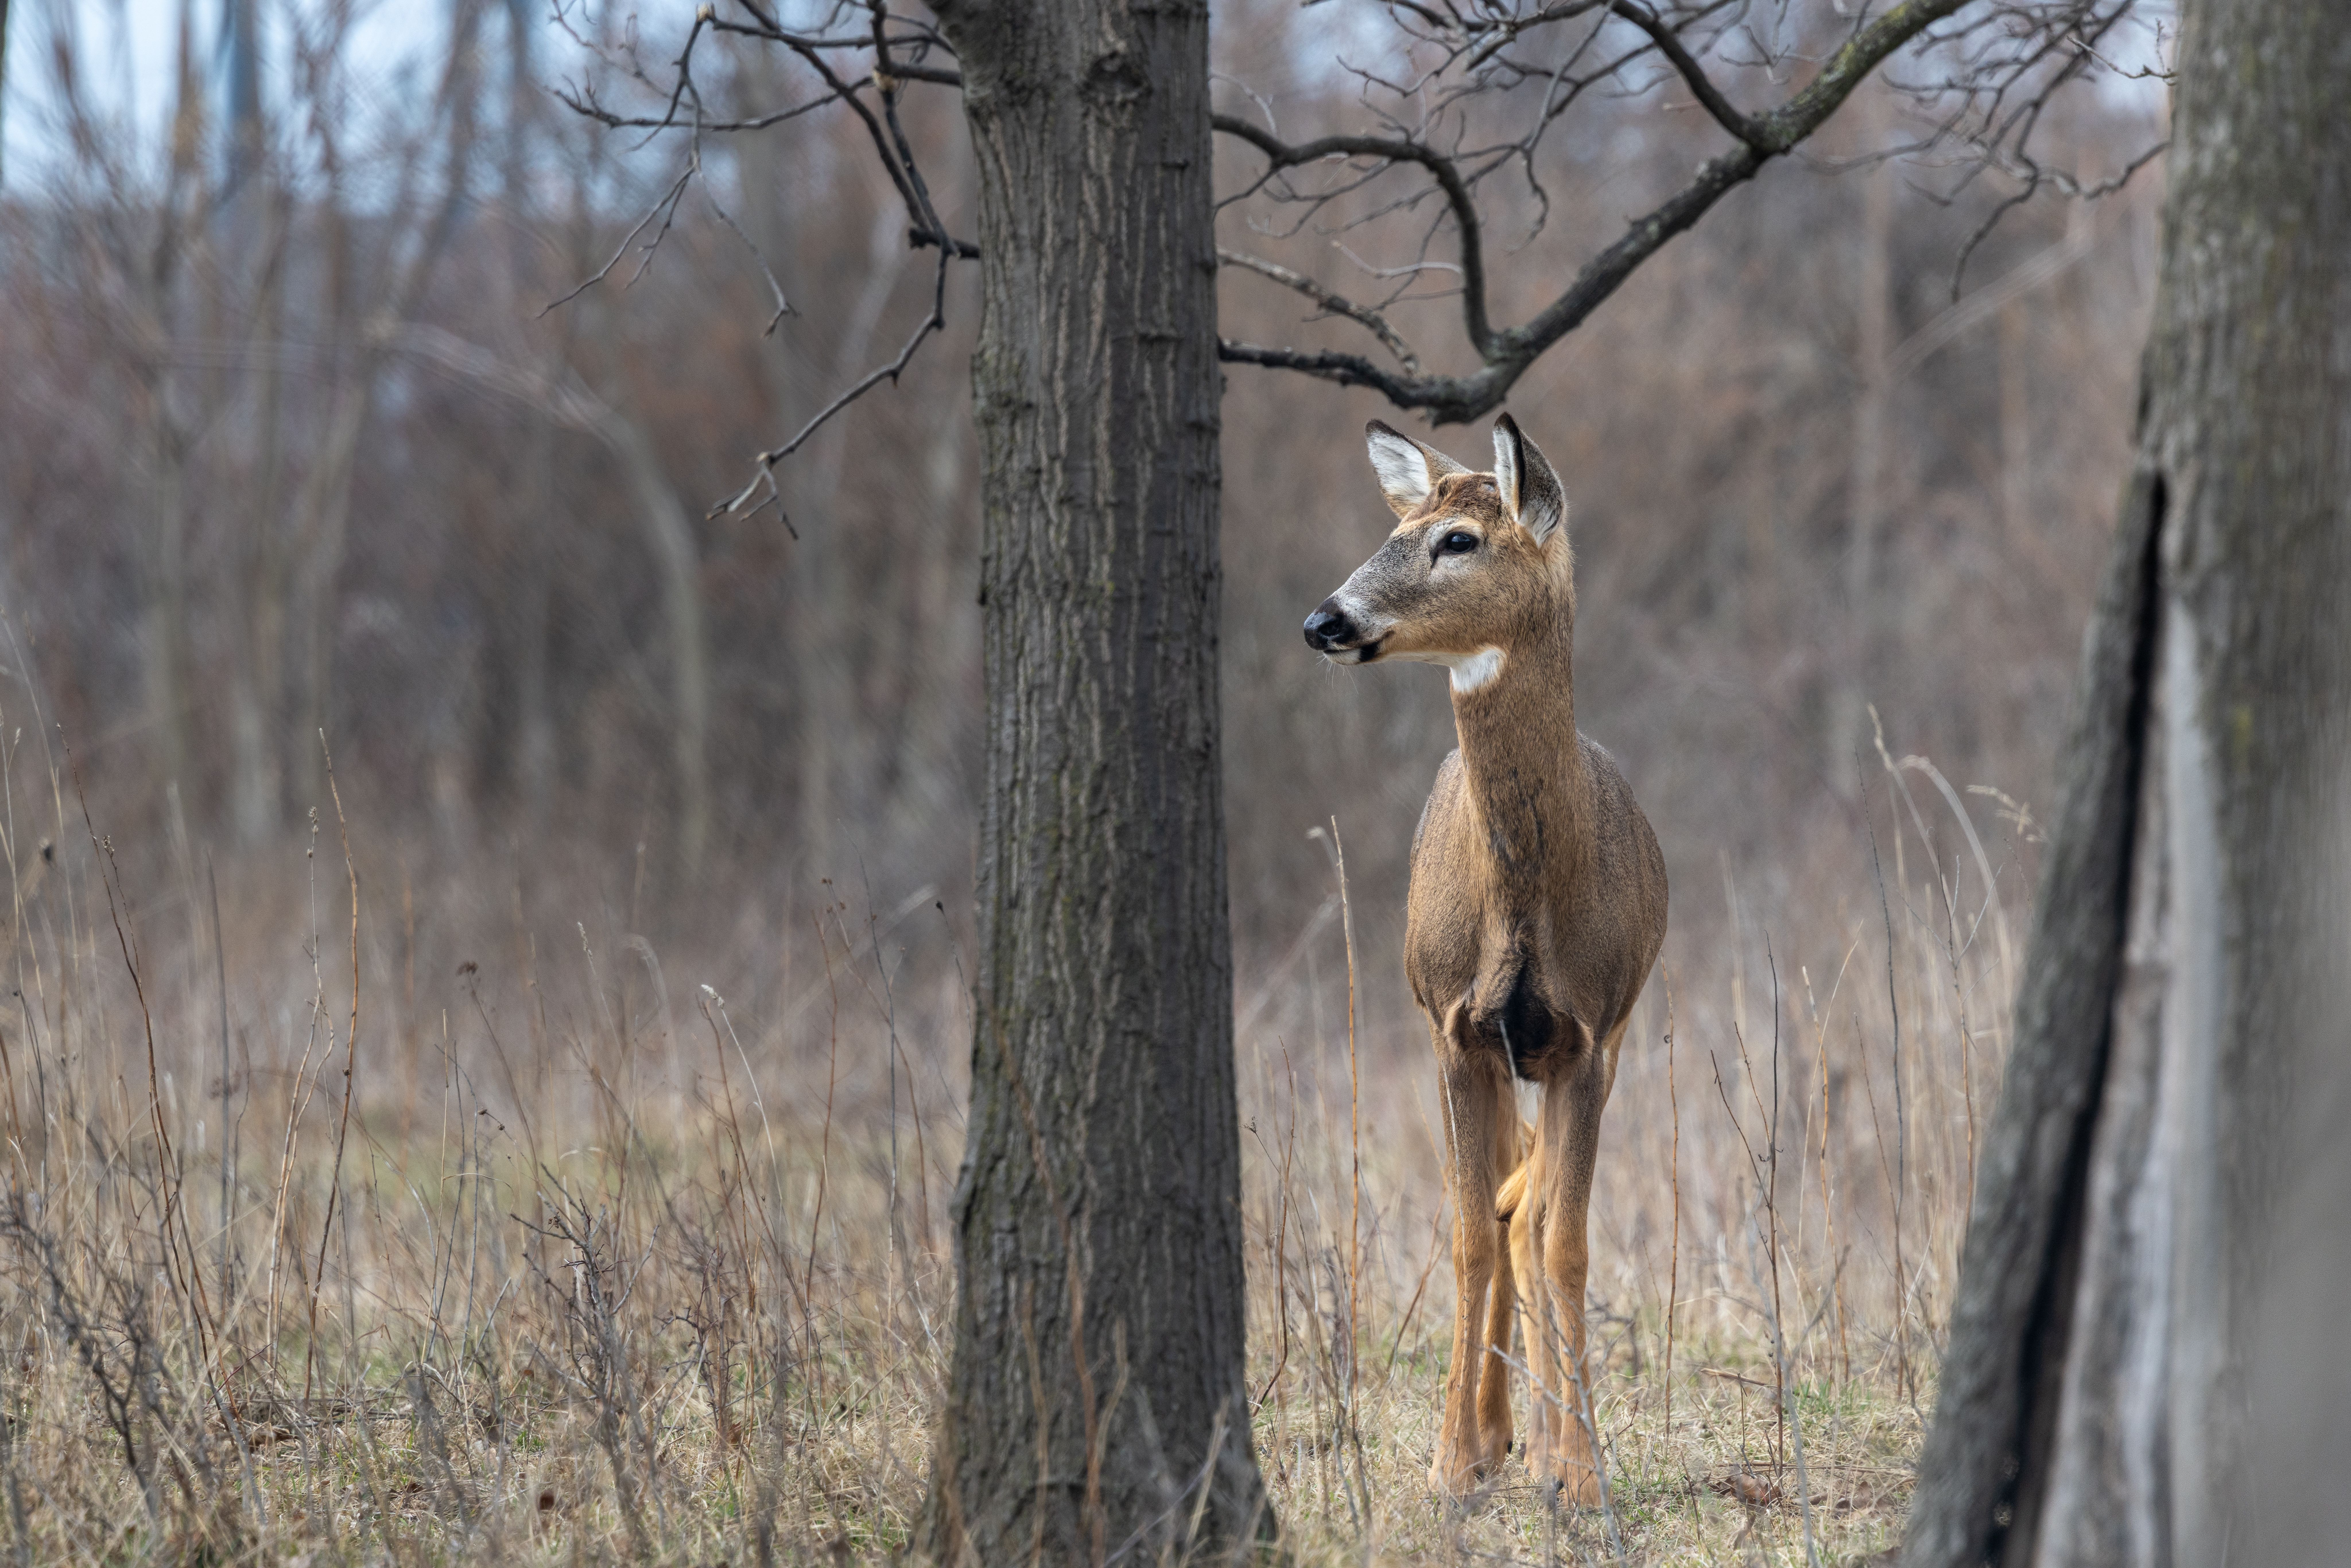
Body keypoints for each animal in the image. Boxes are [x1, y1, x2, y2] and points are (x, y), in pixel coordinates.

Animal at [1302, 415, 1668, 1503]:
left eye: (1458, 539)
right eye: (1396, 526)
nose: (1325, 620)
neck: (1523, 908)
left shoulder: (1588, 1035)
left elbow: (1565, 1240)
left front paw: (1580, 1472)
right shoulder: (1455, 1030)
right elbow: (1469, 1236)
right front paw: (1455, 1458)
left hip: (1607, 1037)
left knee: (1535, 1206)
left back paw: (1542, 1439)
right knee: (1505, 1203)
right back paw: (1505, 1431)